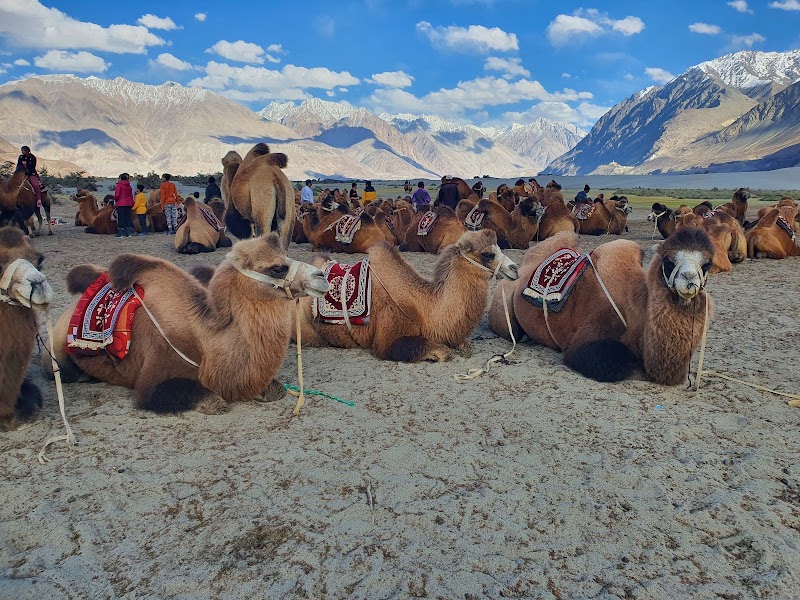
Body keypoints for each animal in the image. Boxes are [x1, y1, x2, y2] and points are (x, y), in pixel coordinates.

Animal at [51, 234, 329, 414]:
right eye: (277, 268)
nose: (322, 277)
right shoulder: (155, 375)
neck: (204, 340)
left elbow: (274, 389)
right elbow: (212, 401)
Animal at [292, 229, 519, 362]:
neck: (425, 308)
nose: (514, 269)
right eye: (487, 254)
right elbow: (439, 351)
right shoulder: (389, 337)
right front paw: (437, 354)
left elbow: (463, 344)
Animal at [488, 228, 714, 385]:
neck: (636, 310)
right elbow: (622, 364)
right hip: (502, 300)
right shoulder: (588, 340)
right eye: (668, 261)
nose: (689, 278)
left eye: (706, 265)